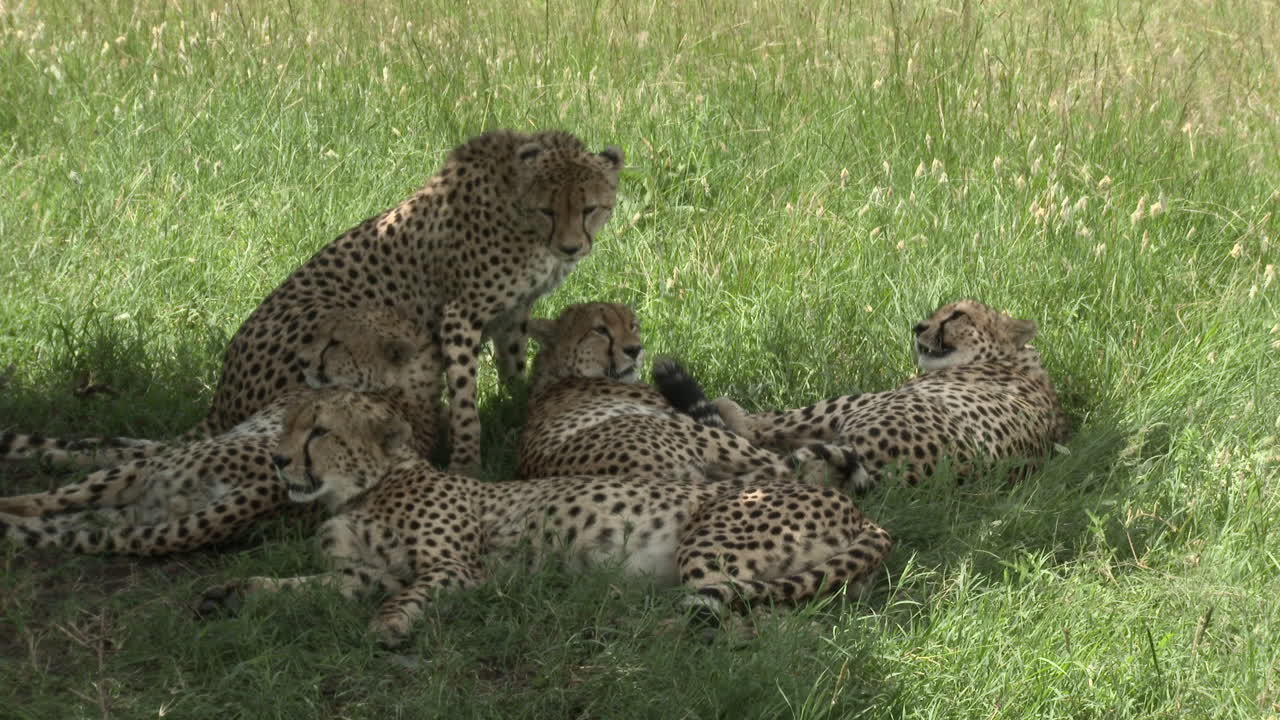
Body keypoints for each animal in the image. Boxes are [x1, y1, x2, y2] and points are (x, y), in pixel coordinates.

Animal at [0, 307, 442, 556]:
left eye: (335, 343)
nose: (301, 360)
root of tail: (267, 494)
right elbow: (125, 442)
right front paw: (58, 450)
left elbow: (125, 448)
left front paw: (52, 451)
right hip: (130, 515)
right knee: (55, 526)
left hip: (143, 486)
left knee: (38, 504)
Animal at [196, 390, 892, 648]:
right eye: (286, 423)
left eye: (318, 431)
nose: (279, 459)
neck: (360, 490)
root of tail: (860, 513)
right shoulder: (364, 573)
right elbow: (300, 588)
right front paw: (233, 593)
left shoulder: (453, 568)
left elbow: (408, 595)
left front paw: (388, 628)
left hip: (708, 545)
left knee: (750, 625)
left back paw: (637, 633)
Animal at [203, 130, 624, 475]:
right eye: (547, 210)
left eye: (590, 209)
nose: (570, 247)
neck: (517, 211)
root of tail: (219, 400)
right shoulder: (459, 314)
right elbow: (464, 396)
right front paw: (466, 462)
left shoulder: (515, 310)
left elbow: (514, 366)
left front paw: (518, 409)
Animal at [515, 302, 867, 488]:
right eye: (600, 330)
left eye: (632, 325)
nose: (635, 349)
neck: (561, 373)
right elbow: (733, 413)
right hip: (696, 434)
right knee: (785, 462)